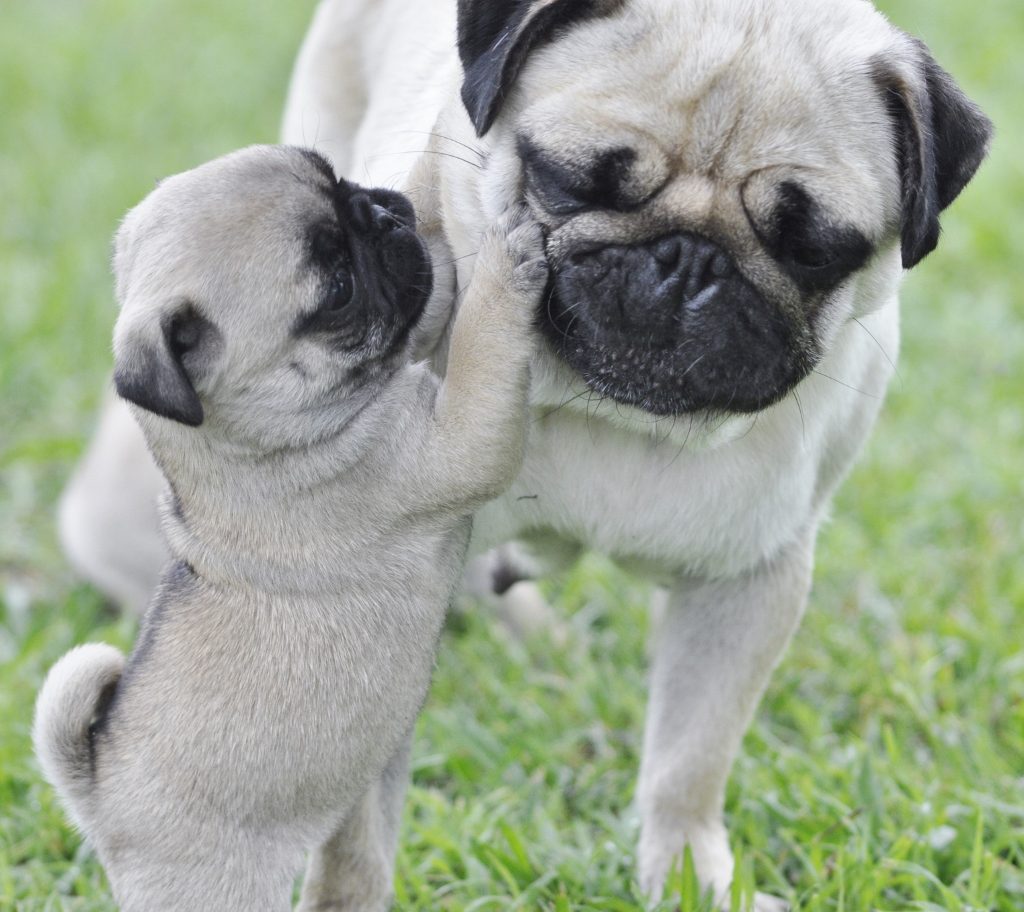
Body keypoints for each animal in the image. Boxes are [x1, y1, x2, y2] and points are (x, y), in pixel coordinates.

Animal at [36, 146, 552, 912]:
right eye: (336, 290)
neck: (238, 438)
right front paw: (504, 265)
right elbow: (484, 356)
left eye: (334, 176)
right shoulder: (448, 445)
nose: (380, 211)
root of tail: (98, 792)